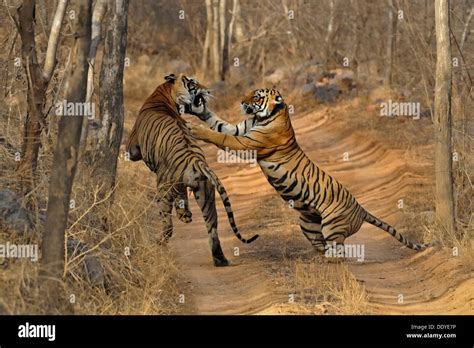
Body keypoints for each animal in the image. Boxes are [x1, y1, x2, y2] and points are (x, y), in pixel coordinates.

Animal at [126, 72, 258, 266]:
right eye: (193, 83)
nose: (208, 90)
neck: (164, 92)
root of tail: (195, 160)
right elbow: (182, 197)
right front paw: (186, 214)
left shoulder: (133, 147)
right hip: (206, 193)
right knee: (212, 228)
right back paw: (219, 258)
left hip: (164, 189)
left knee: (168, 226)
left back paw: (158, 242)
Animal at [187, 88, 432, 254]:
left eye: (256, 97)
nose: (241, 102)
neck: (268, 115)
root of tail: (361, 209)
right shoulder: (240, 128)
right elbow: (217, 122)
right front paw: (196, 109)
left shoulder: (246, 143)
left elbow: (221, 135)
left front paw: (194, 129)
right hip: (307, 224)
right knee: (321, 246)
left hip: (332, 227)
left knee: (339, 252)